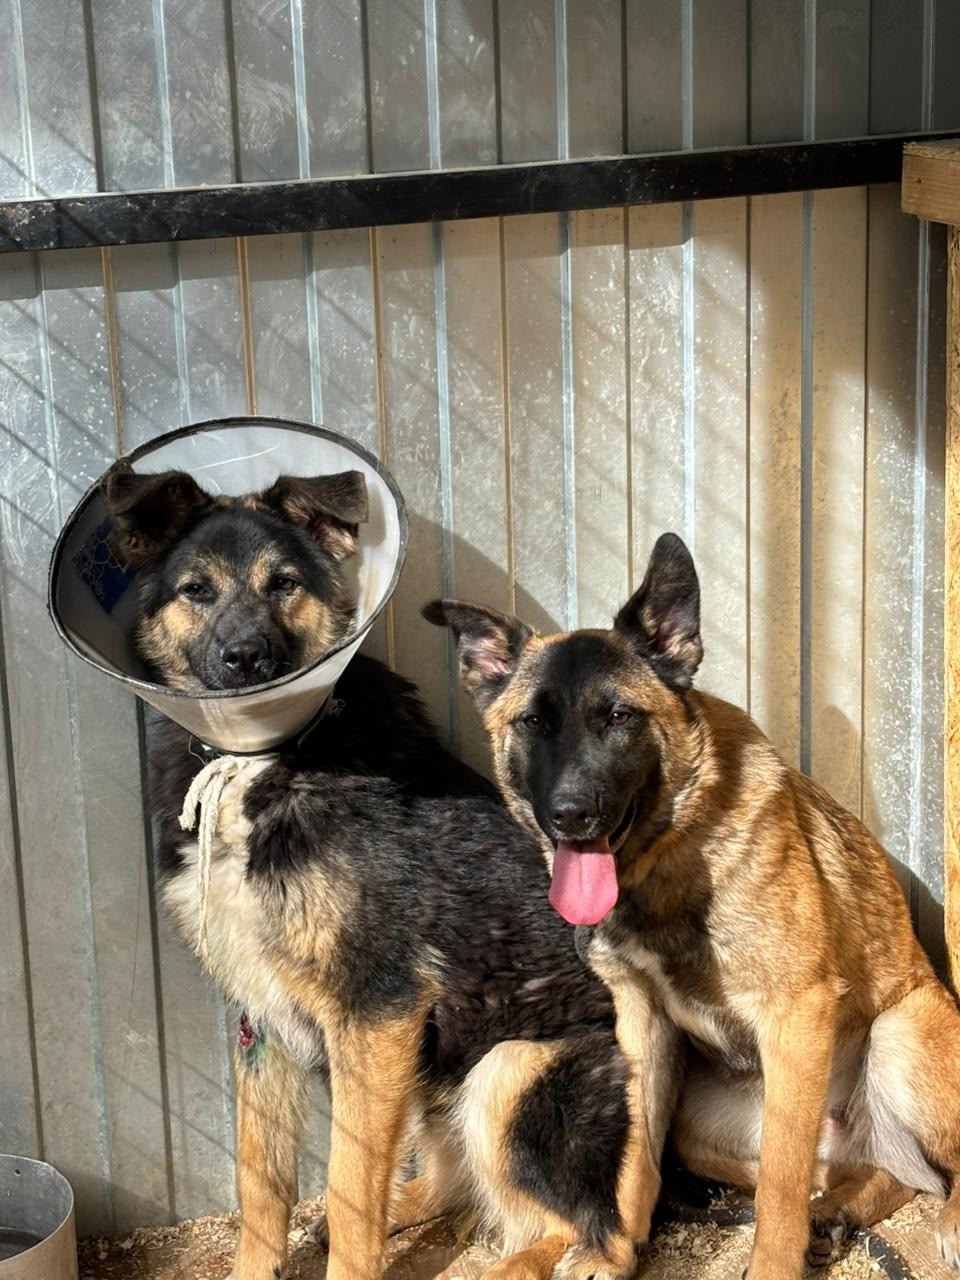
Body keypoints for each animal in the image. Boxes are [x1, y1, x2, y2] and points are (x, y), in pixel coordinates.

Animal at [104, 466, 671, 1280]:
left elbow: (347, 1187)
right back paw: (411, 1207)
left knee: (585, 1226)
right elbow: (261, 1178)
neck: (264, 764)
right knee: (453, 1184)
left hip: (506, 1070)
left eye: (284, 583)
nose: (246, 659)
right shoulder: (261, 1017)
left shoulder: (377, 1008)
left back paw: (523, 1264)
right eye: (196, 590)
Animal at [426, 530, 960, 1280]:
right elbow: (635, 1161)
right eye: (532, 723)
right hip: (704, 1124)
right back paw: (838, 1211)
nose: (570, 816)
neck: (666, 862)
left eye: (620, 717)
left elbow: (781, 1186)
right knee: (878, 1175)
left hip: (897, 1035)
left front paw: (771, 1268)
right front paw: (613, 1252)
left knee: (918, 1169)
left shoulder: (797, 1017)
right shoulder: (642, 1026)